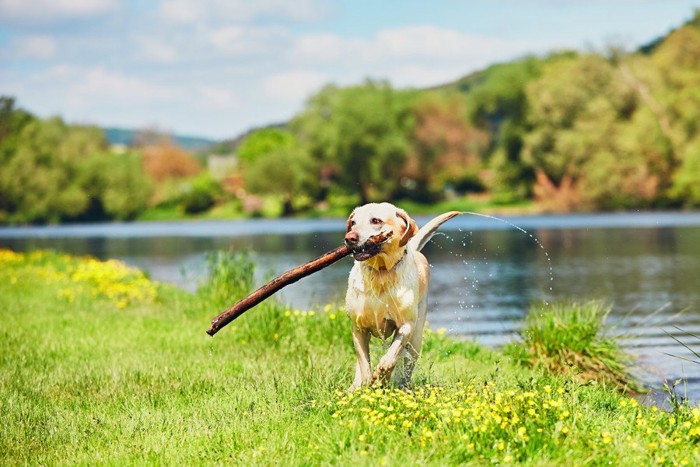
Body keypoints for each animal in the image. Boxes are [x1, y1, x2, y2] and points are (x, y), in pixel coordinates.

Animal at [344, 204, 460, 392]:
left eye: (375, 220)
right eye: (353, 222)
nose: (349, 238)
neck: (381, 273)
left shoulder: (406, 325)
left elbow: (392, 356)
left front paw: (381, 376)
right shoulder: (358, 327)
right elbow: (363, 363)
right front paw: (366, 383)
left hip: (417, 337)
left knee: (407, 362)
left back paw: (402, 386)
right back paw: (354, 387)